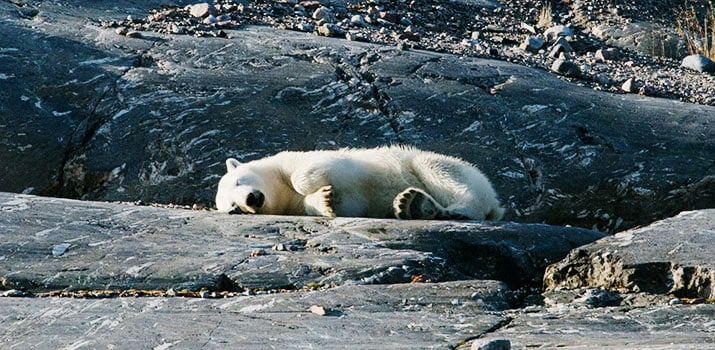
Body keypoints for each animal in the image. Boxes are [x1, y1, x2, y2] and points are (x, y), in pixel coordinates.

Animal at [215, 146, 506, 220]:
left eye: (239, 180)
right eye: (233, 208)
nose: (251, 199)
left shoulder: (298, 159)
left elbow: (310, 172)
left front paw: (316, 188)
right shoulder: (293, 207)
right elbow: (319, 205)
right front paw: (326, 199)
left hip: (442, 165)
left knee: (437, 169)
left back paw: (457, 210)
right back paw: (412, 205)